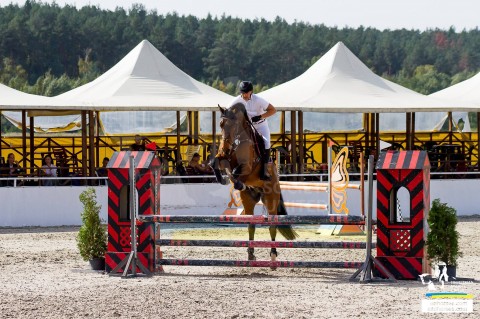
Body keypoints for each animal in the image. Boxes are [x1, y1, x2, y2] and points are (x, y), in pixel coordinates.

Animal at [212, 103, 298, 268]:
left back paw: (273, 256)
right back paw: (251, 254)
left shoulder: (247, 167)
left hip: (271, 200)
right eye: (221, 124)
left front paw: (236, 182)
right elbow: (216, 162)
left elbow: (236, 172)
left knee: (272, 225)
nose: (225, 148)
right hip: (249, 200)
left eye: (233, 125)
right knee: (251, 224)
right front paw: (222, 178)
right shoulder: (224, 158)